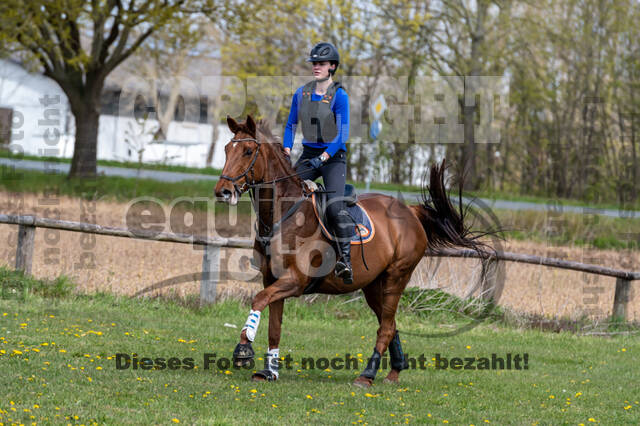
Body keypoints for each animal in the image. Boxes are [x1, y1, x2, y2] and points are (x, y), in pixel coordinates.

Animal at [215, 115, 490, 388]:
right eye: (227, 149)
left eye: (248, 151)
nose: (222, 191)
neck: (283, 215)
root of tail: (410, 211)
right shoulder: (272, 279)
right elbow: (274, 326)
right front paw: (269, 371)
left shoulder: (295, 280)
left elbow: (258, 299)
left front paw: (244, 348)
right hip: (373, 285)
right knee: (390, 323)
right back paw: (394, 371)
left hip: (397, 277)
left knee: (386, 327)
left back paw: (367, 375)